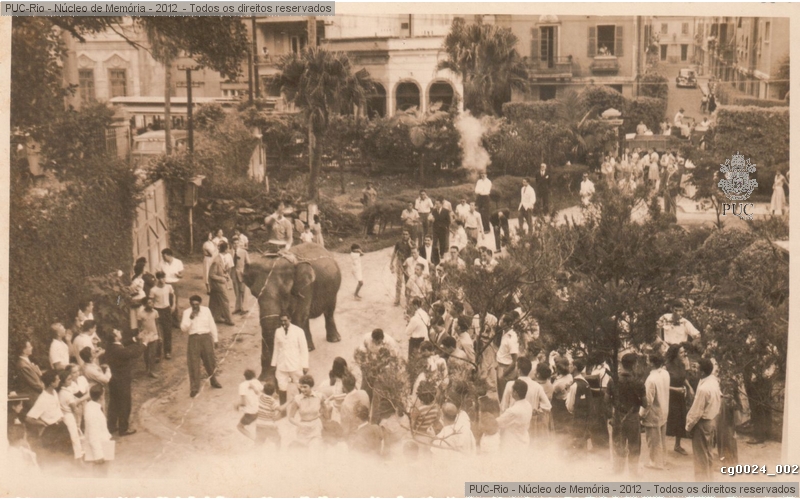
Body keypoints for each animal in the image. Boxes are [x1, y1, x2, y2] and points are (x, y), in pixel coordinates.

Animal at [243, 242, 341, 378]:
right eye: (255, 294)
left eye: (285, 293)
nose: (263, 379)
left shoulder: (306, 287)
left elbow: (298, 317)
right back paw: (309, 348)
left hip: (333, 288)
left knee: (329, 310)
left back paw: (334, 340)